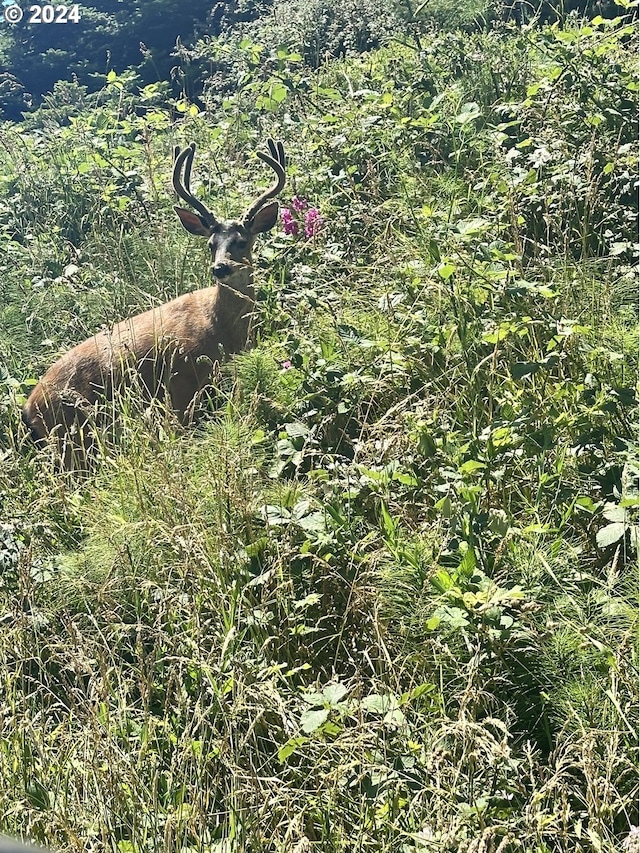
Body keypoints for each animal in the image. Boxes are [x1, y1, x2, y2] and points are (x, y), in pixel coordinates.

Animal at [21, 137, 288, 470]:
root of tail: (29, 407)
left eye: (241, 241)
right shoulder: (180, 382)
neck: (220, 328)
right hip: (71, 435)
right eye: (211, 244)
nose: (220, 268)